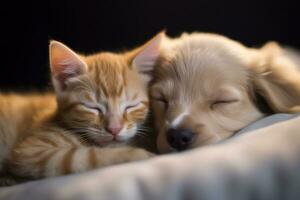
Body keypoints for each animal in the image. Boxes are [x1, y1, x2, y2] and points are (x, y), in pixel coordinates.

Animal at [0, 31, 164, 183]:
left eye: (131, 106)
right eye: (93, 108)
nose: (114, 129)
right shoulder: (29, 152)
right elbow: (88, 155)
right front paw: (141, 154)